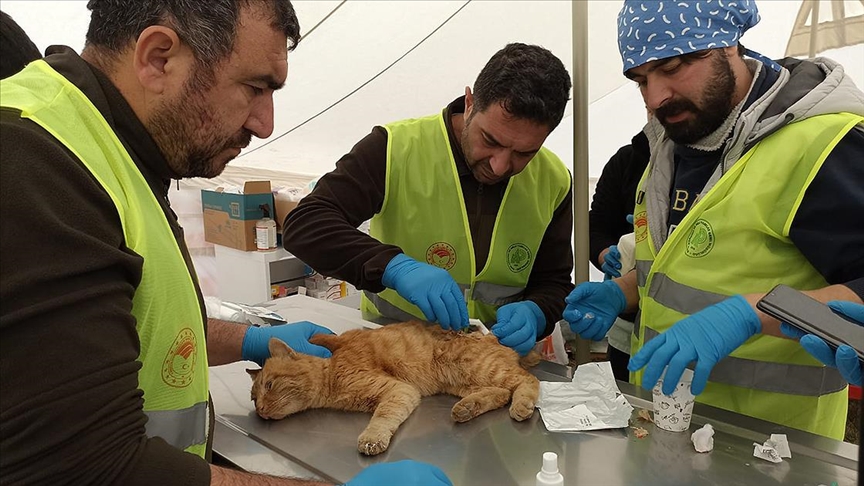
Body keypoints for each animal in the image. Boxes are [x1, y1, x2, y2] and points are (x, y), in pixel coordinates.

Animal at [246, 322, 536, 456]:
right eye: (253, 398)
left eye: (269, 385)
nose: (261, 410)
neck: (329, 372)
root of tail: (493, 336)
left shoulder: (398, 390)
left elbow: (382, 417)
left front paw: (372, 438)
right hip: (462, 382)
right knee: (501, 394)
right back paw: (467, 408)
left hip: (480, 368)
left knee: (528, 381)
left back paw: (523, 404)